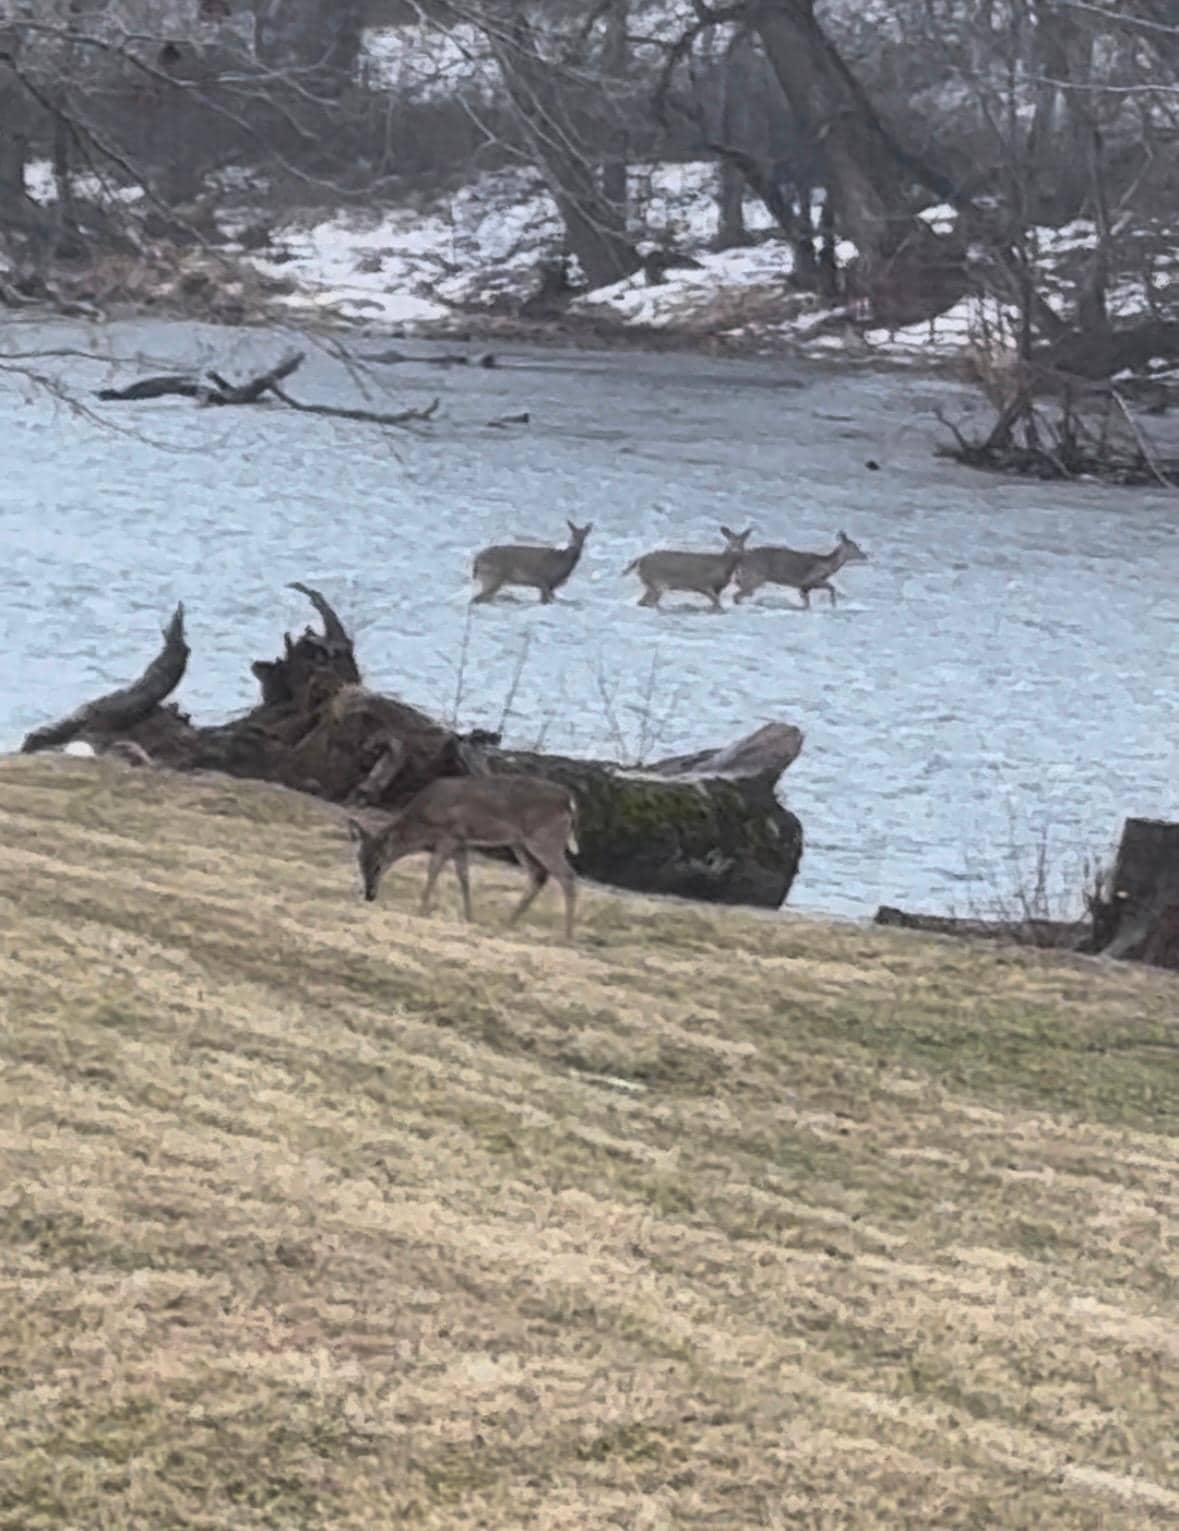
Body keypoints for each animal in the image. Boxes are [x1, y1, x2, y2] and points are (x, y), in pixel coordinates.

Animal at [347, 775, 580, 940]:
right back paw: (508, 922)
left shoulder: (450, 836)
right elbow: (464, 877)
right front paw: (469, 917)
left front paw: (422, 909)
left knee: (567, 876)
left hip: (544, 838)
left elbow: (433, 869)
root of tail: (569, 801)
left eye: (378, 865)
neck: (423, 826)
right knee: (538, 875)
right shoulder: (462, 842)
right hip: (520, 843)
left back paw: (567, 935)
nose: (369, 895)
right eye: (359, 861)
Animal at [623, 525, 751, 610]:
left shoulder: (717, 589)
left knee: (642, 602)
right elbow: (716, 603)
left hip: (651, 584)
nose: (735, 549)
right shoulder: (704, 584)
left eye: (742, 543)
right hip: (657, 582)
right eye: (730, 542)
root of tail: (640, 560)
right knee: (649, 602)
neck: (724, 564)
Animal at [732, 530, 868, 608]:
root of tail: (743, 558)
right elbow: (831, 587)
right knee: (738, 595)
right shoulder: (812, 579)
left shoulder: (804, 586)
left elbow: (806, 603)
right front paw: (833, 604)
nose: (865, 556)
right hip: (755, 576)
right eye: (854, 547)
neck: (827, 565)